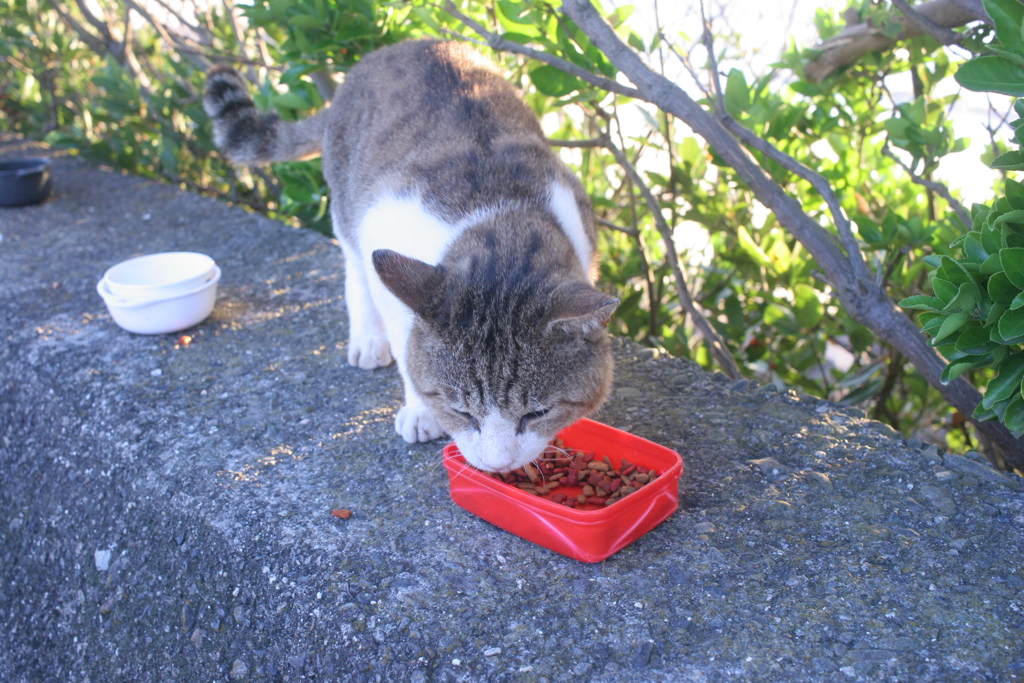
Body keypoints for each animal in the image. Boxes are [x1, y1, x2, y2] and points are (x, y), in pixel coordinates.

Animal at [200, 40, 614, 473]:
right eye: (461, 412)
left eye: (537, 414)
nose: (496, 465)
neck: (502, 221)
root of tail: (388, 50)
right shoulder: (381, 228)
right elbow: (404, 342)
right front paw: (419, 409)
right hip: (348, 205)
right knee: (354, 270)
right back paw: (367, 338)